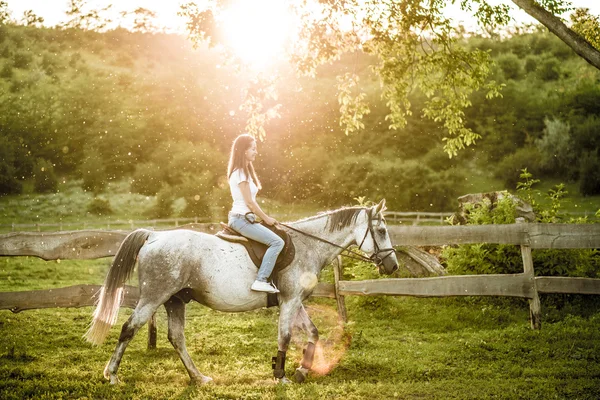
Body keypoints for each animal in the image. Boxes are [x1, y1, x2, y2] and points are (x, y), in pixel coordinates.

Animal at [83, 200, 394, 384]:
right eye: (380, 231)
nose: (393, 265)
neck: (308, 246)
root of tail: (155, 235)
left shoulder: (294, 301)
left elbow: (313, 332)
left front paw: (302, 371)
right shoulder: (290, 301)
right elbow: (285, 336)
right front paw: (280, 375)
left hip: (175, 300)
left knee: (176, 338)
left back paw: (198, 377)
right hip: (153, 298)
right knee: (128, 328)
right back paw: (112, 375)